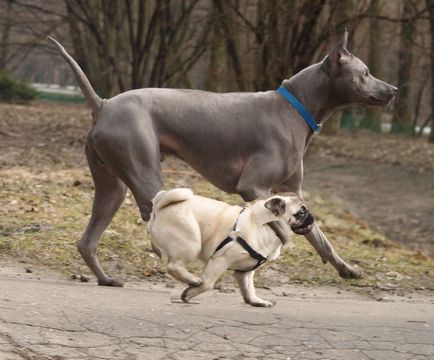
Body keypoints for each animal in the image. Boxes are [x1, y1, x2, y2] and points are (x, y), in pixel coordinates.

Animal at [47, 30, 396, 286]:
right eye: (365, 72)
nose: (393, 89)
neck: (296, 108)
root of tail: (103, 103)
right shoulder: (252, 187)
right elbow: (280, 231)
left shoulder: (293, 193)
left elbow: (320, 237)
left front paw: (346, 269)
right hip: (145, 173)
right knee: (152, 216)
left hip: (112, 186)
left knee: (87, 240)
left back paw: (106, 278)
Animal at [147, 188, 314, 306]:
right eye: (301, 212)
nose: (311, 217)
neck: (265, 225)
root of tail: (160, 206)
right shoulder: (220, 260)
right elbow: (208, 283)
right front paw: (189, 294)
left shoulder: (245, 272)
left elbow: (249, 288)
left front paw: (255, 301)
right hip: (191, 243)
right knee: (174, 267)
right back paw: (193, 281)